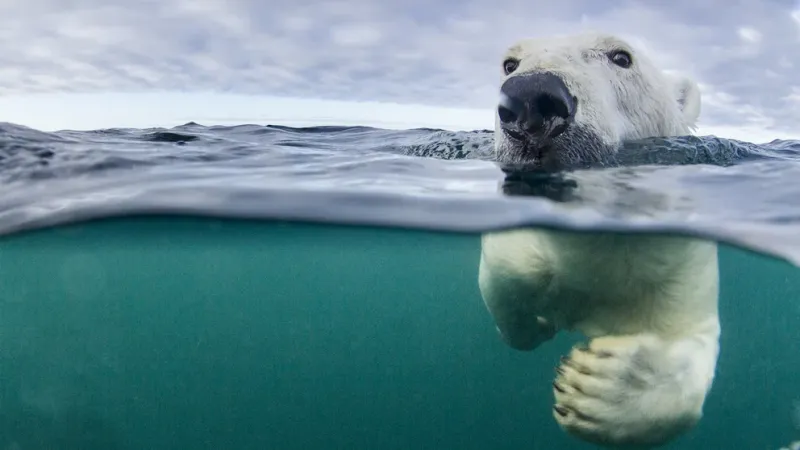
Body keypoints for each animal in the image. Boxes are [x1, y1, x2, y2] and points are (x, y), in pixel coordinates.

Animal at [476, 31, 720, 446]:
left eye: (621, 57)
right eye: (510, 63)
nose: (531, 97)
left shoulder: (682, 262)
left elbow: (691, 337)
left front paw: (599, 386)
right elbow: (508, 268)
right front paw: (537, 320)